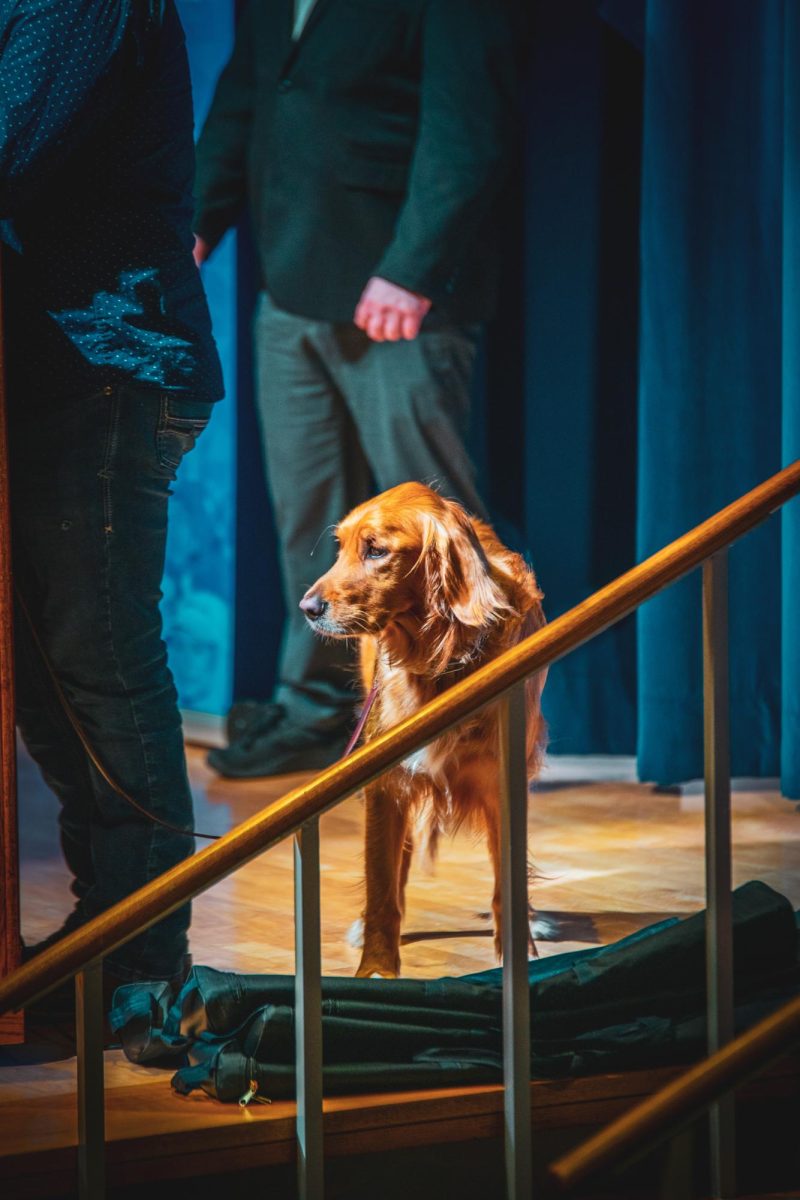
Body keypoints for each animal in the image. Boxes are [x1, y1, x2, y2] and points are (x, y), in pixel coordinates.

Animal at [297, 482, 546, 979]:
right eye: (341, 547)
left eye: (376, 550)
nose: (307, 608)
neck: (439, 659)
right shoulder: (386, 783)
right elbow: (381, 885)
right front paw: (377, 968)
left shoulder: (502, 785)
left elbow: (507, 884)